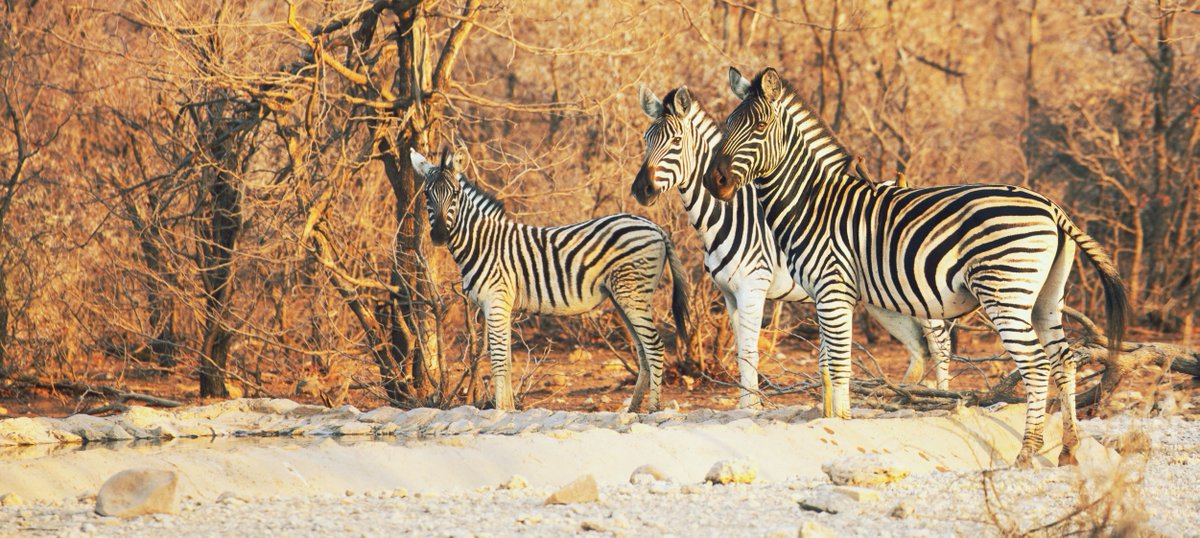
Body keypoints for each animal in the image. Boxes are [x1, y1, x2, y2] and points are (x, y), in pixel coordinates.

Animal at [411, 147, 689, 413]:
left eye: (455, 195)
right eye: (426, 195)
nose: (439, 235)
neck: (482, 243)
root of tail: (655, 226)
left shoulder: (496, 302)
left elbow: (499, 362)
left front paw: (500, 410)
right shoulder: (503, 306)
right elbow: (507, 362)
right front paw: (509, 410)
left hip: (633, 293)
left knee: (654, 347)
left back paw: (653, 409)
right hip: (622, 297)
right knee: (643, 351)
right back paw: (632, 409)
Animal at [632, 85, 951, 408]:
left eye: (676, 141)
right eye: (646, 139)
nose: (640, 190)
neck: (729, 215)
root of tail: (901, 182)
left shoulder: (753, 287)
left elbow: (749, 353)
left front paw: (752, 408)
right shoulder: (729, 294)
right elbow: (740, 352)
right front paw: (745, 407)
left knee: (940, 342)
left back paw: (943, 397)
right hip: (882, 297)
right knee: (917, 345)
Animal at [703, 67, 1129, 467]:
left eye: (759, 128)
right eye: (727, 125)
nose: (713, 181)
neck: (813, 202)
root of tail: (1051, 207)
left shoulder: (833, 288)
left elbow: (838, 366)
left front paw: (840, 425)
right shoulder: (827, 296)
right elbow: (826, 366)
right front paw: (831, 419)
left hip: (1005, 294)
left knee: (1037, 366)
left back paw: (1026, 453)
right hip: (1046, 298)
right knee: (1064, 361)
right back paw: (1068, 449)